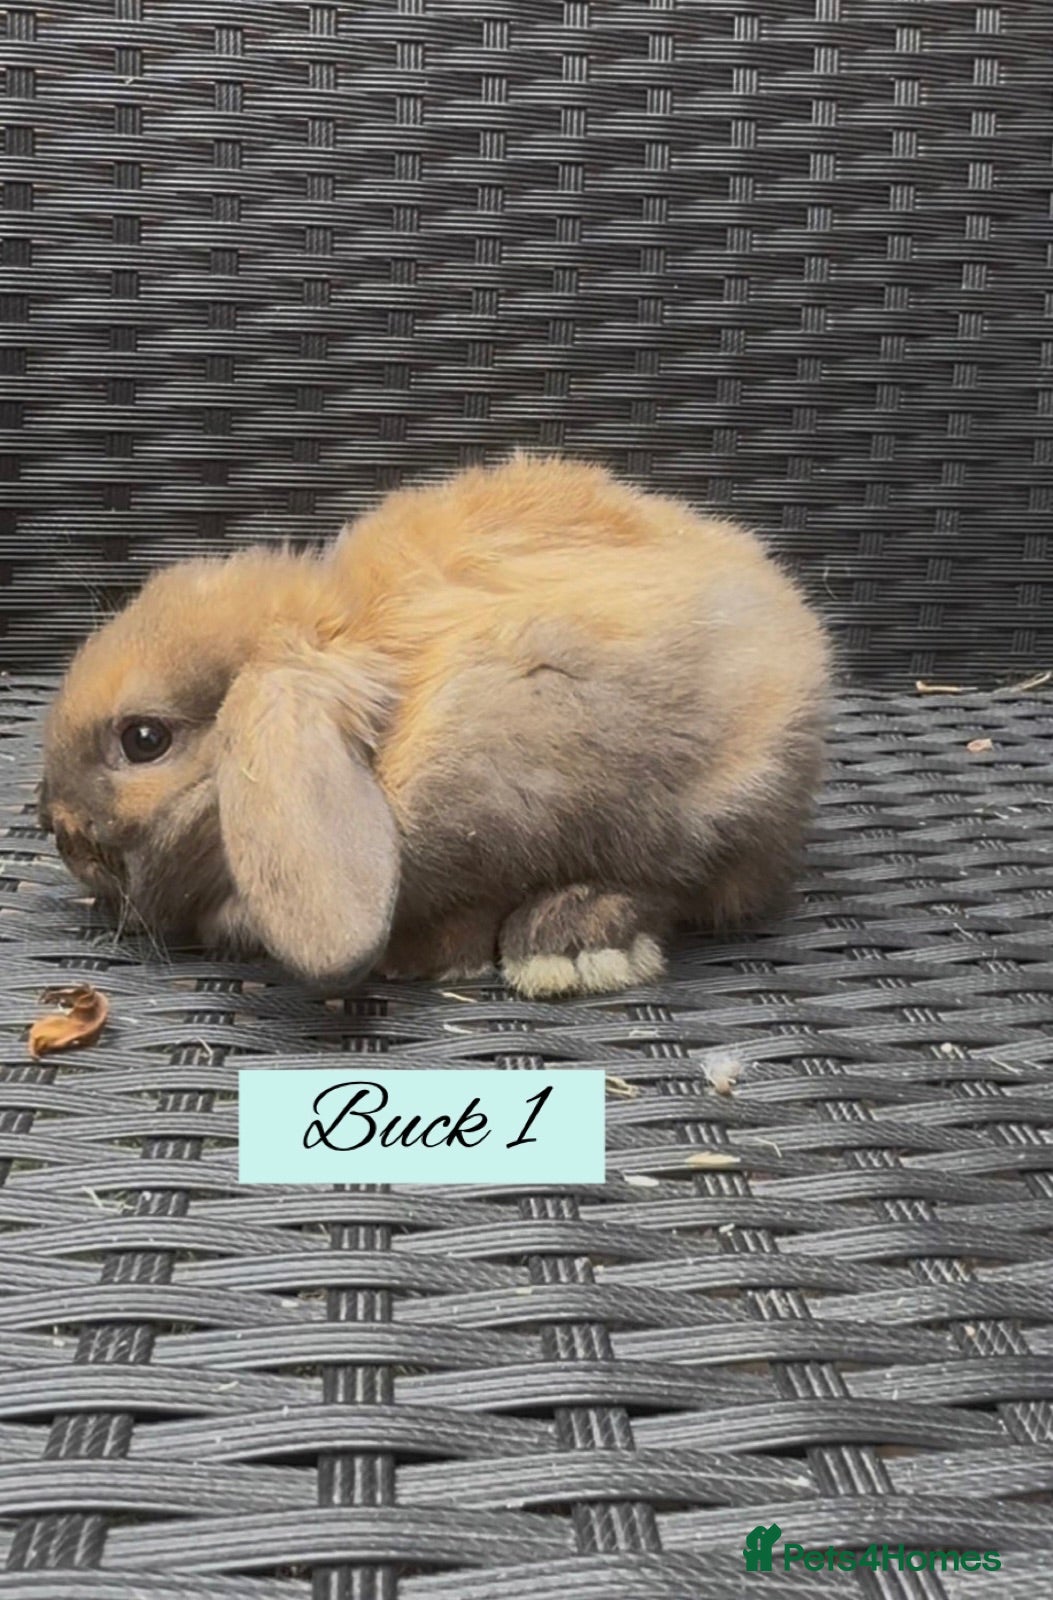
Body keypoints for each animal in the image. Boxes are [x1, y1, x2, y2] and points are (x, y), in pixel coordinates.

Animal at [39, 454, 831, 998]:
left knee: (687, 883)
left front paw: (420, 959)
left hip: (717, 802)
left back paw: (568, 944)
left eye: (144, 740)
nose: (58, 830)